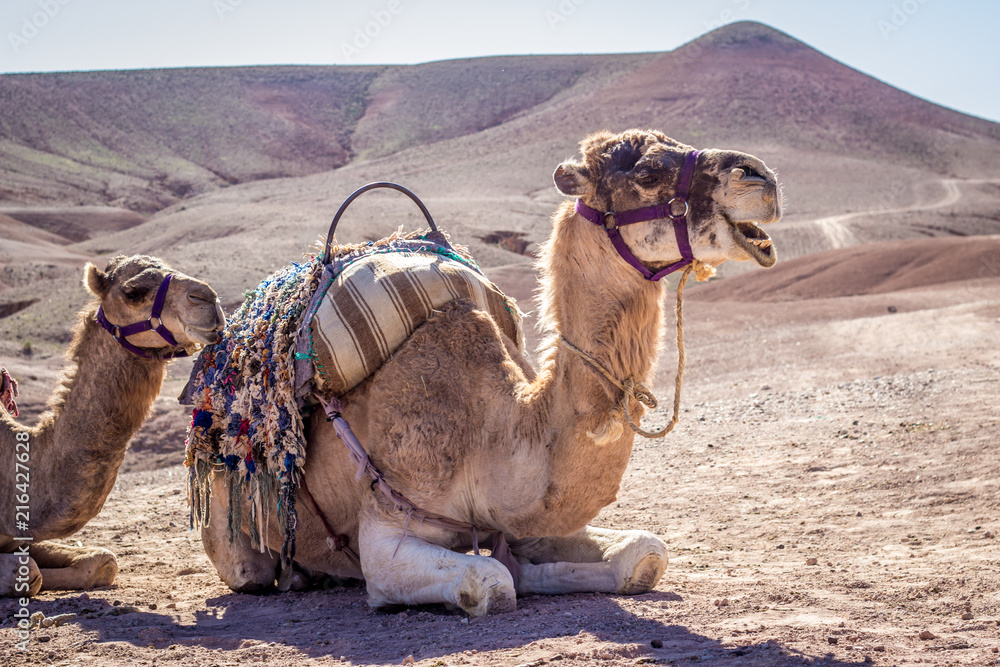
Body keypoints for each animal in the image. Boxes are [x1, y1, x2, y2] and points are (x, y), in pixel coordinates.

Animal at [201, 129, 782, 615]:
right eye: (647, 171)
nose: (761, 177)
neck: (497, 429)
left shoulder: (521, 521)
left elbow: (643, 554)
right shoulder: (385, 532)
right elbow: (493, 581)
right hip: (233, 531)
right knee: (251, 571)